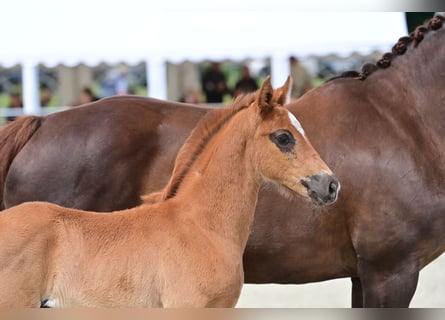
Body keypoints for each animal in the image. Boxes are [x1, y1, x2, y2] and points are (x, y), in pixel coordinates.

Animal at [0, 15, 444, 308]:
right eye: (284, 137)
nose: (330, 185)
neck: (402, 119)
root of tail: (40, 122)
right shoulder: (390, 272)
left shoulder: (364, 276)